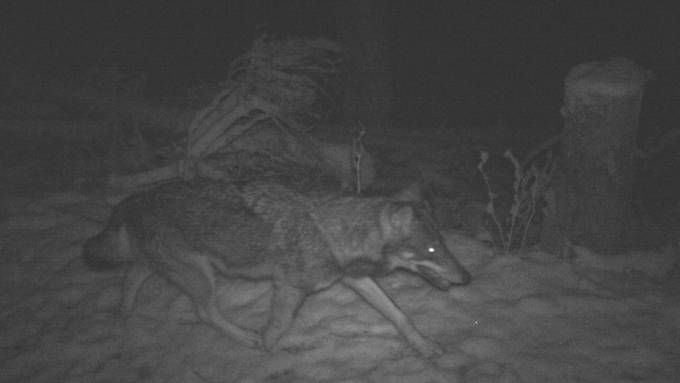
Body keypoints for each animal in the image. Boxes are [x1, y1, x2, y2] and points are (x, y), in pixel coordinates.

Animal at [82, 178, 470, 358]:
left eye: (444, 245)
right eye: (431, 249)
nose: (468, 278)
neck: (332, 233)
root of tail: (132, 198)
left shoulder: (356, 281)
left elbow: (400, 315)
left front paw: (425, 347)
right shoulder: (288, 289)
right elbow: (278, 327)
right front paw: (268, 352)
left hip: (173, 267)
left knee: (133, 274)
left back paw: (124, 312)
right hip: (201, 277)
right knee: (205, 313)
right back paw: (245, 337)